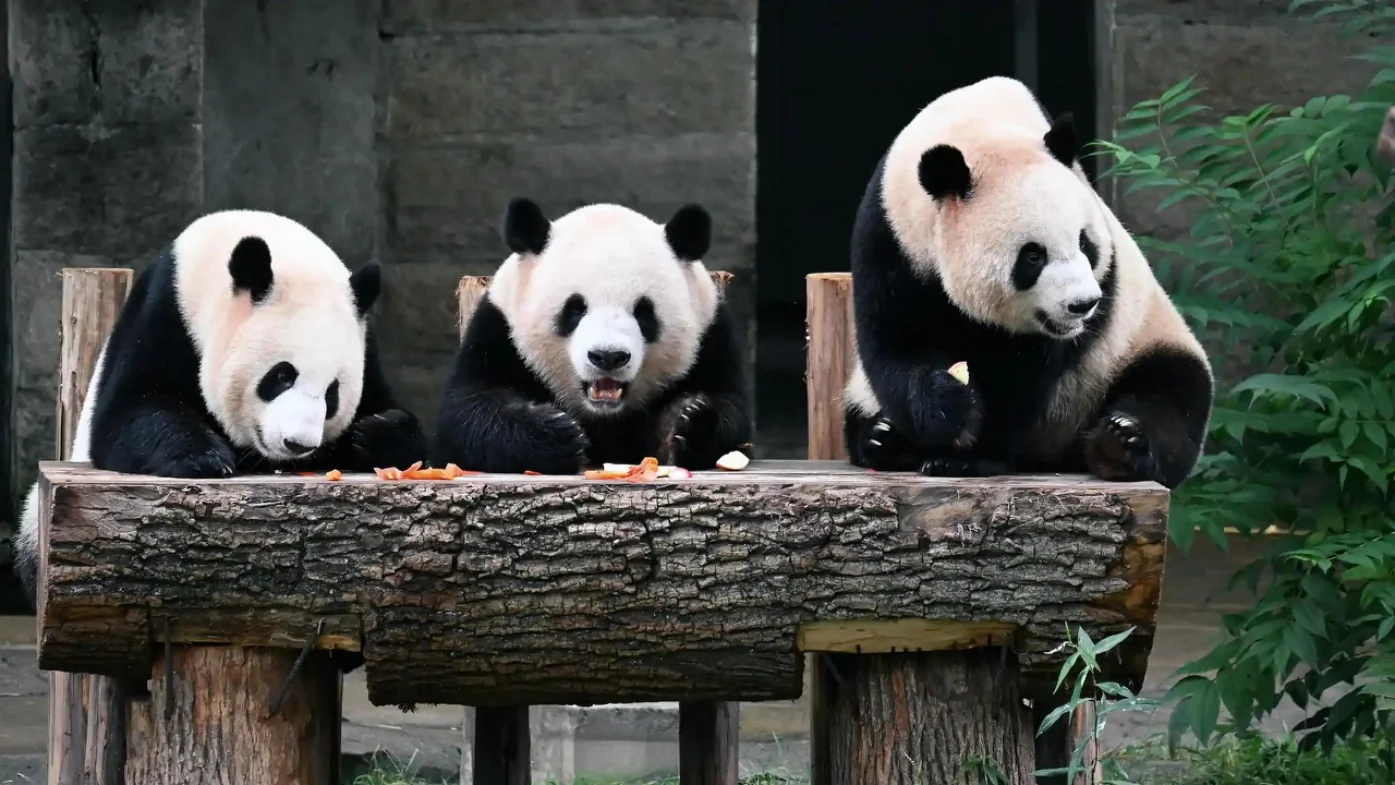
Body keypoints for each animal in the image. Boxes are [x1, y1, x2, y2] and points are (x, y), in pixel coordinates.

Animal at [16, 209, 427, 603]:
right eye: (282, 375)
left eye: (332, 393)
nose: (298, 444)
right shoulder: (165, 315)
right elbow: (126, 413)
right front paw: (204, 456)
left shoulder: (366, 348)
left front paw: (372, 432)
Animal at [432, 198, 752, 475]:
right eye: (574, 309)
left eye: (644, 312)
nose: (608, 356)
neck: (603, 416)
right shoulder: (499, 331)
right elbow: (466, 412)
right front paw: (554, 434)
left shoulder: (711, 335)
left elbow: (732, 412)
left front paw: (688, 422)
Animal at [843, 76, 1214, 489]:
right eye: (1033, 257)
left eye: (1085, 243)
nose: (1084, 304)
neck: (978, 128)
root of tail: (1055, 453)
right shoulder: (891, 237)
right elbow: (897, 341)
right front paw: (949, 408)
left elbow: (1021, 375)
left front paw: (970, 456)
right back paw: (883, 437)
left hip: (1135, 345)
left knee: (1170, 395)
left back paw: (1119, 444)